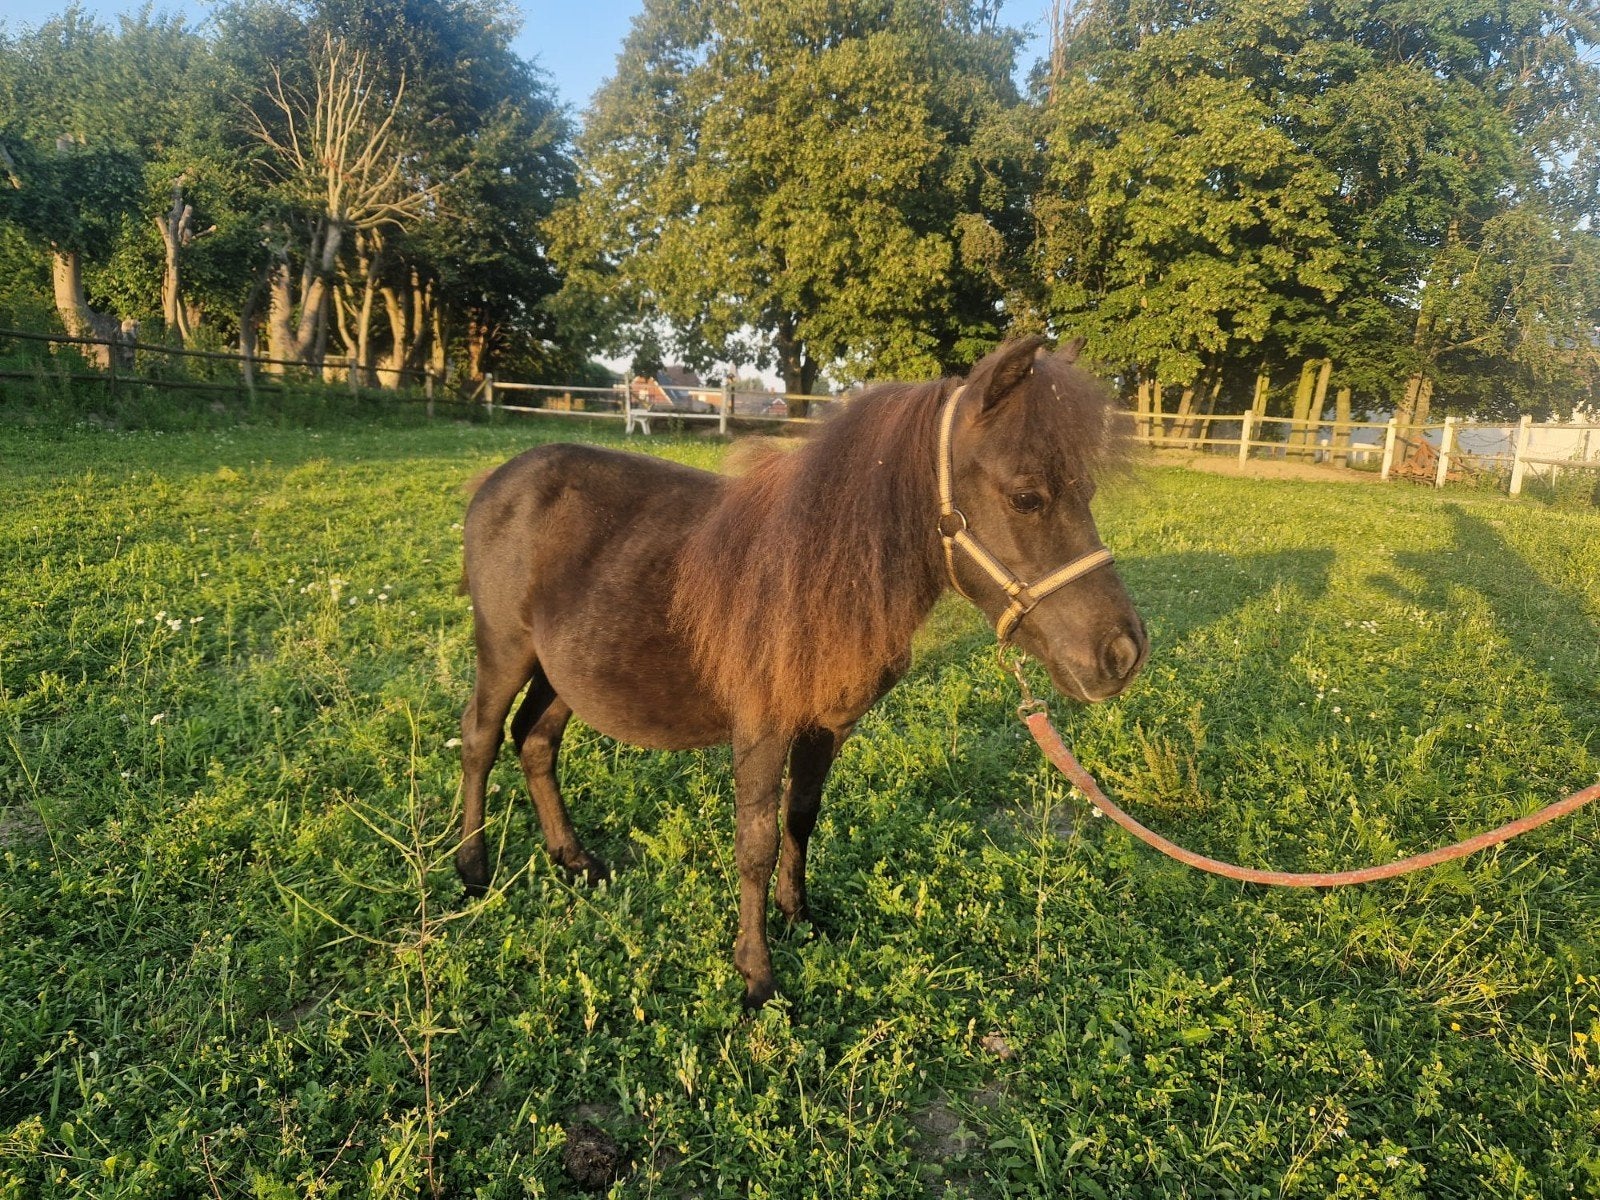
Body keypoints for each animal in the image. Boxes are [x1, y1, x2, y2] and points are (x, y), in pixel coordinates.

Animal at [455, 336, 1148, 1008]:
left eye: (1085, 493)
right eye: (1026, 497)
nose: (1123, 653)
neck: (818, 575)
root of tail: (500, 477)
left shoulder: (825, 726)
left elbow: (802, 817)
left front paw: (799, 917)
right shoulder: (761, 728)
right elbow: (755, 843)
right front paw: (756, 973)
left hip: (561, 672)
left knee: (535, 742)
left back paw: (573, 859)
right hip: (504, 652)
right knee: (480, 739)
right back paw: (473, 870)